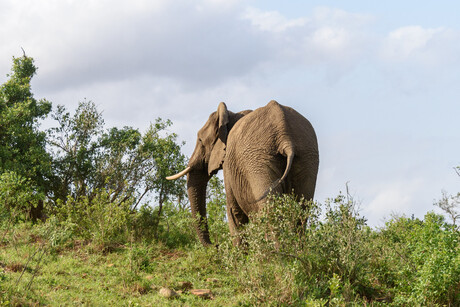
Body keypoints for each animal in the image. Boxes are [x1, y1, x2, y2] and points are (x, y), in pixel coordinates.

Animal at [166, 101, 320, 248]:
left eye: (200, 140)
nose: (215, 245)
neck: (231, 116)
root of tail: (285, 138)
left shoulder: (228, 163)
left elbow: (234, 210)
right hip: (307, 156)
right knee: (301, 211)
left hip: (257, 160)